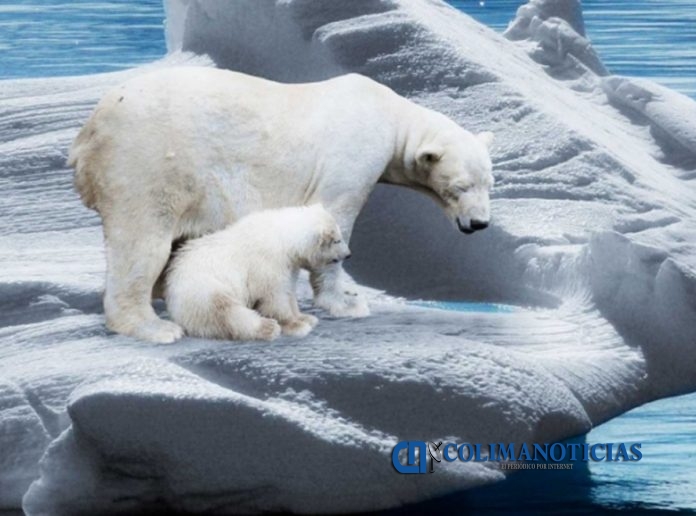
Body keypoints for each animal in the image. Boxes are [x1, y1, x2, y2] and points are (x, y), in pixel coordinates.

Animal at [164, 204, 351, 342]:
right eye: (337, 240)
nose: (348, 254)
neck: (282, 239)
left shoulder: (288, 265)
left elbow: (288, 291)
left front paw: (306, 317)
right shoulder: (268, 263)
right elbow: (274, 297)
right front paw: (296, 326)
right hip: (204, 288)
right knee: (226, 311)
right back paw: (267, 327)